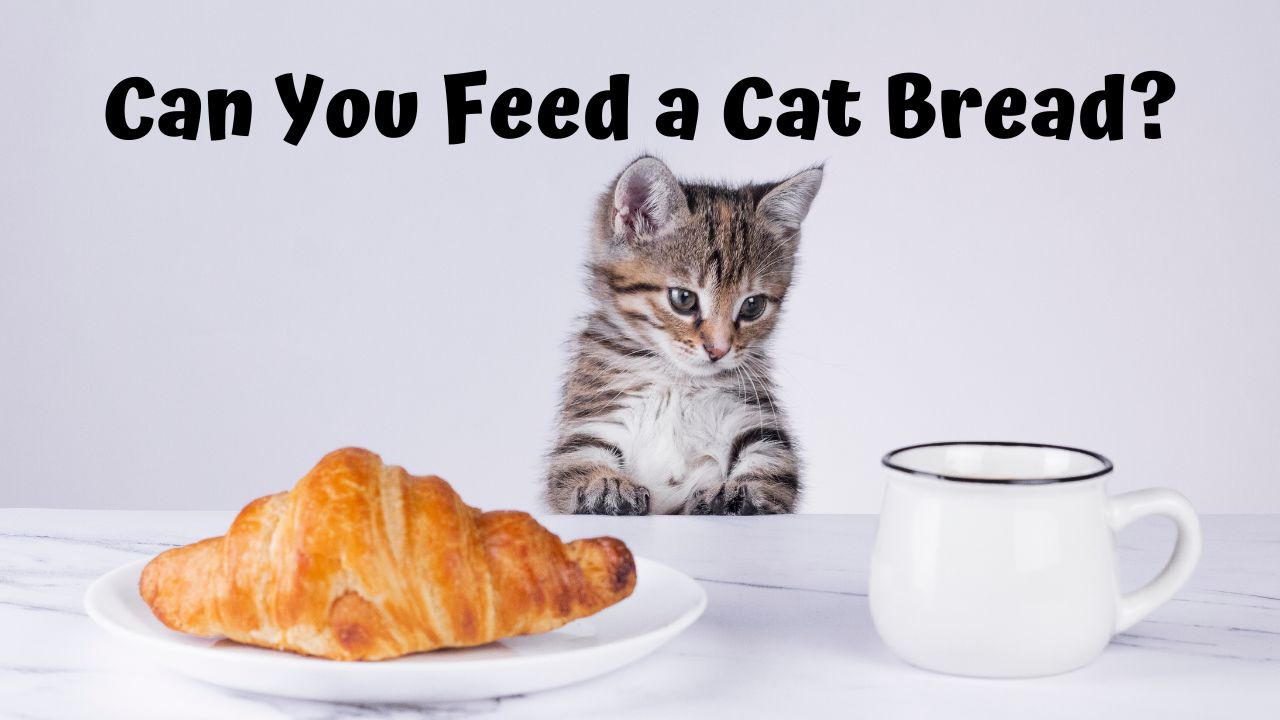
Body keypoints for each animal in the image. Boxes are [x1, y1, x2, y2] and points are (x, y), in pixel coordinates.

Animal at [540, 158, 819, 515]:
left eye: (753, 306)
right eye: (683, 299)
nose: (719, 349)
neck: (677, 380)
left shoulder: (756, 420)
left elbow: (772, 466)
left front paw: (738, 491)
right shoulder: (591, 418)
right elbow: (574, 461)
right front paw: (603, 484)